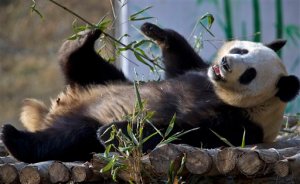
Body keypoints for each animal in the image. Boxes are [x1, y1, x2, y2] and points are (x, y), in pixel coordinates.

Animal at [1, 23, 298, 162]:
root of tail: (55, 111)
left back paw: (15, 138)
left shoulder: (238, 124)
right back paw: (84, 39)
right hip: (102, 81)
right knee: (83, 64)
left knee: (71, 137)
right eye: (241, 50)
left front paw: (114, 130)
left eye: (250, 74)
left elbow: (180, 131)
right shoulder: (199, 73)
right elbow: (180, 62)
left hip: (81, 123)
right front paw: (156, 32)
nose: (224, 64)